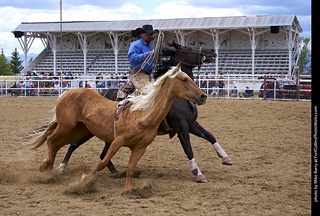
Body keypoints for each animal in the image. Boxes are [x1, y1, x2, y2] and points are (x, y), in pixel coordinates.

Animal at [28, 64, 206, 191]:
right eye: (184, 79)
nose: (203, 95)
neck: (142, 116)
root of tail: (66, 93)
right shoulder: (117, 141)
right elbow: (102, 162)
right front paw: (83, 181)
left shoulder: (140, 148)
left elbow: (130, 168)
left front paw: (128, 189)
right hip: (67, 126)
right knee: (51, 139)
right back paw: (48, 166)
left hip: (79, 130)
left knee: (58, 143)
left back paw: (49, 169)